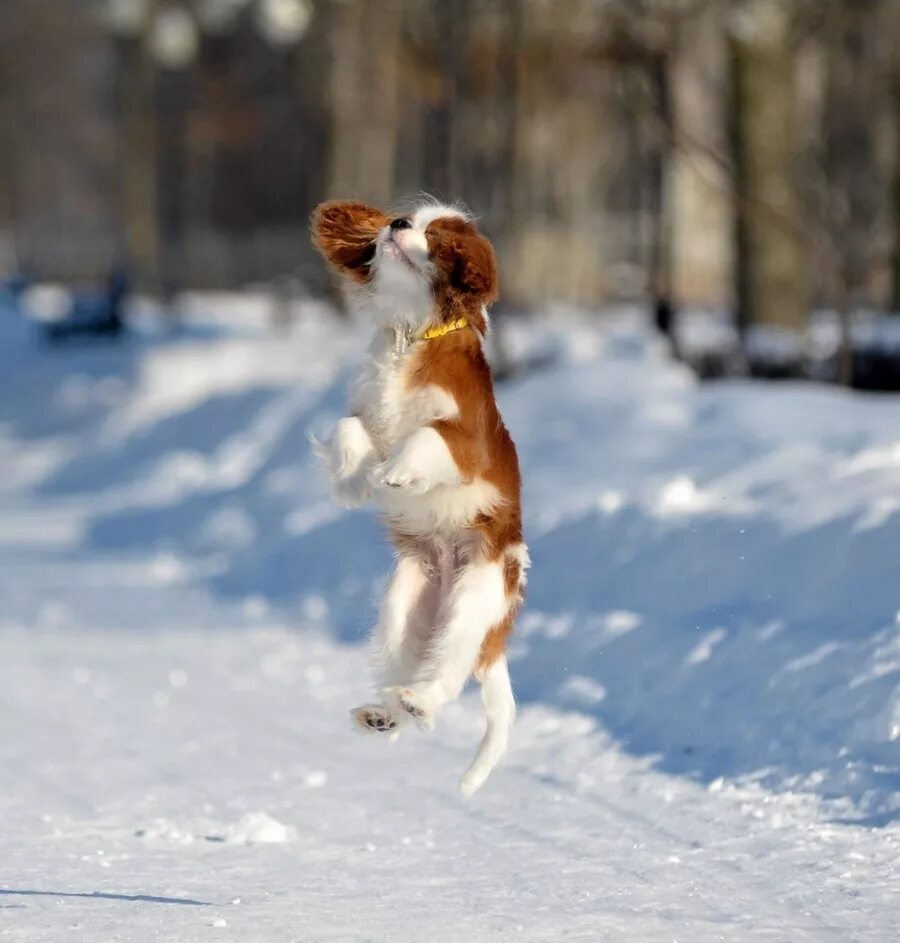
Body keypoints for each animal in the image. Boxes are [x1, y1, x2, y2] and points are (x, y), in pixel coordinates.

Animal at [312, 201, 532, 796]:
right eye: (405, 218)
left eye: (435, 237)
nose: (395, 226)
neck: (411, 334)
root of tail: (496, 636)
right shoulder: (366, 412)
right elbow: (348, 426)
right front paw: (357, 478)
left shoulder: (466, 440)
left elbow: (426, 437)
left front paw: (396, 472)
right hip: (404, 605)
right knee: (405, 674)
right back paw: (383, 716)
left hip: (476, 597)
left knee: (447, 677)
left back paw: (419, 702)